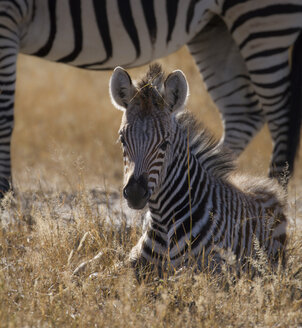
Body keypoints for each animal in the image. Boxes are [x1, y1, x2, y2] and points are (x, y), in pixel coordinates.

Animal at [0, 0, 302, 193]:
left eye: (165, 142)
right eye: (121, 140)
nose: (136, 193)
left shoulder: (8, 14)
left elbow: (4, 116)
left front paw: (5, 195)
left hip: (264, 17)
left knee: (280, 114)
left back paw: (276, 191)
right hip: (214, 26)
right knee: (243, 110)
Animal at [109, 64, 286, 280]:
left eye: (165, 144)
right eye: (123, 140)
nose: (135, 193)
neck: (163, 220)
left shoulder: (216, 269)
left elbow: (182, 277)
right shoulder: (134, 260)